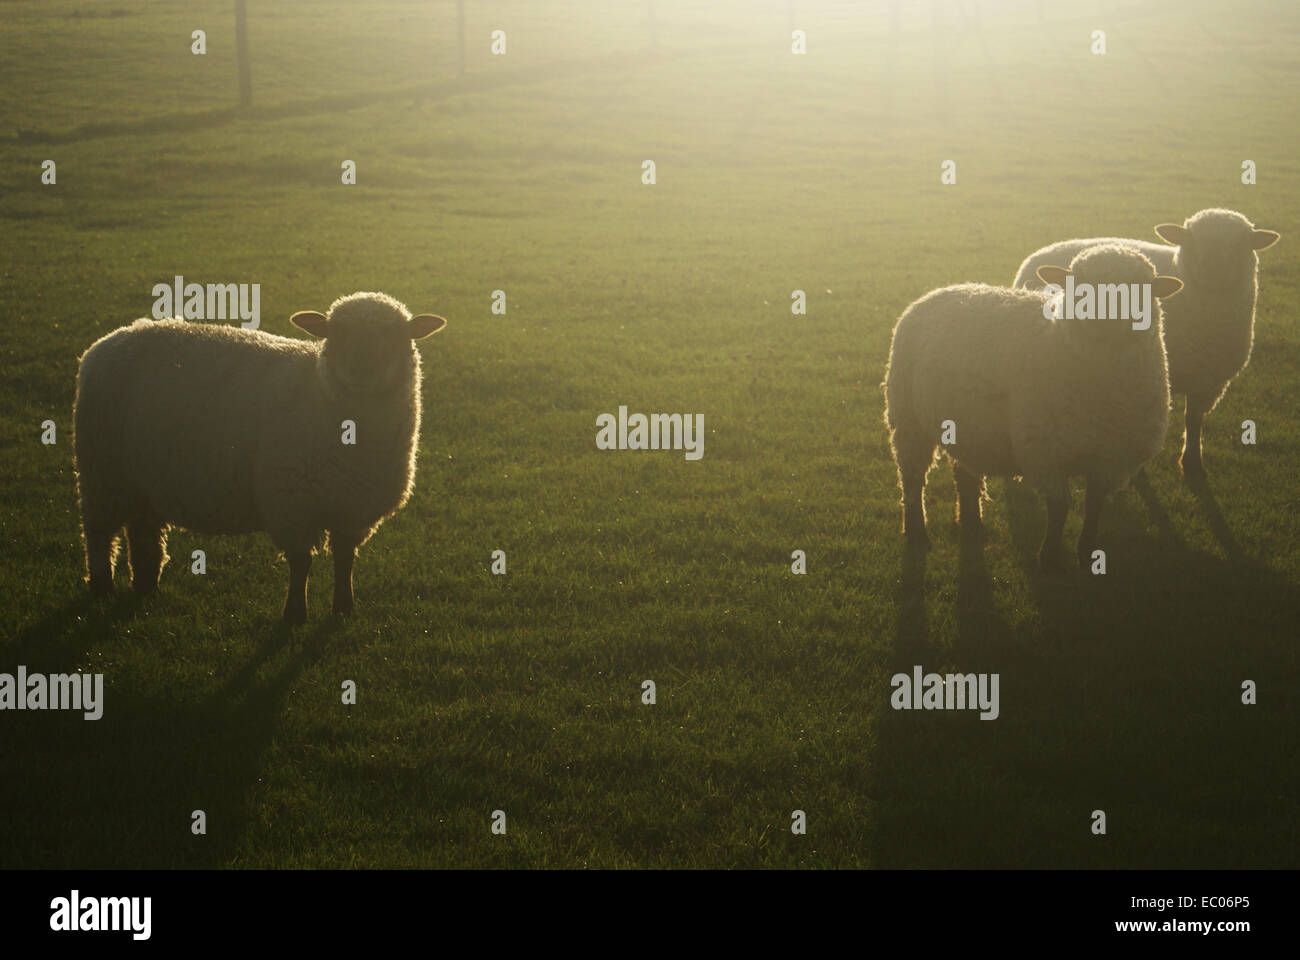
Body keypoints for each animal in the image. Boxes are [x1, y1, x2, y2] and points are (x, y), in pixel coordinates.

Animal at [72, 290, 447, 621]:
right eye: (335, 332)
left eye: (395, 334)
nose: (362, 368)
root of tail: (108, 341)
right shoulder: (291, 503)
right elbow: (301, 563)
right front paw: (294, 615)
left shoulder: (355, 507)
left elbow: (345, 560)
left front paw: (343, 608)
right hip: (102, 471)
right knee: (100, 532)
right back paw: (103, 588)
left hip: (143, 479)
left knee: (143, 530)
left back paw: (146, 586)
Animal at [889, 243, 1185, 567]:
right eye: (1079, 284)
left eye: (1141, 288)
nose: (1103, 321)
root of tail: (943, 289)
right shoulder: (1045, 452)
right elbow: (1059, 508)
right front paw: (1050, 557)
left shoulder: (1111, 459)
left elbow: (1093, 506)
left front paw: (1085, 551)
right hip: (907, 419)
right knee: (913, 479)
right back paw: (917, 533)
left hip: (965, 426)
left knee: (965, 476)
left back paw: (972, 526)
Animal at [1008, 206, 1274, 481]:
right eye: (1190, 240)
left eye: (1241, 244)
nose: (1213, 268)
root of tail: (1040, 252)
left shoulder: (1207, 379)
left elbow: (1193, 420)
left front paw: (1193, 463)